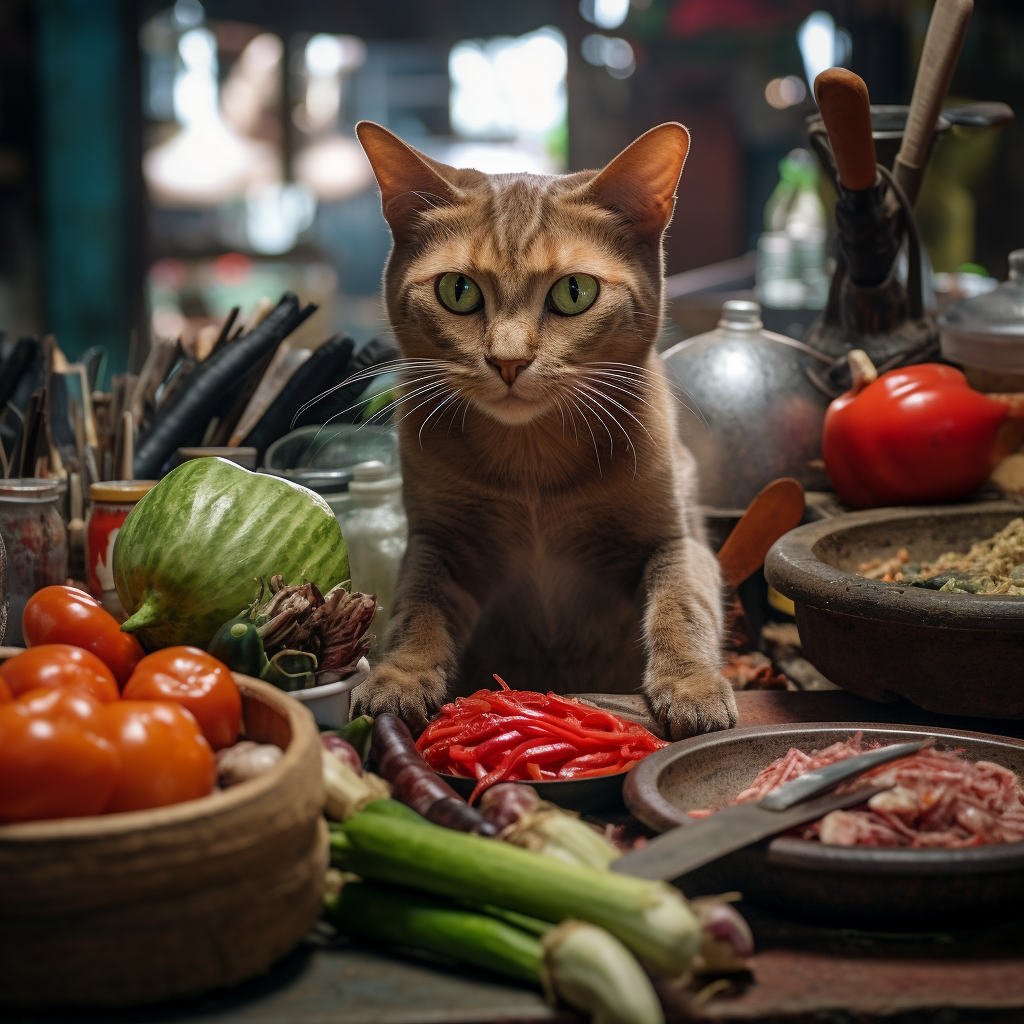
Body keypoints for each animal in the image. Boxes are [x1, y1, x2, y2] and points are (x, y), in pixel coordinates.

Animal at [352, 119, 737, 741]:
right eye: (457, 290)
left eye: (574, 292)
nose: (508, 361)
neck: (532, 463)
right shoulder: (438, 541)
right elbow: (417, 608)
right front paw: (399, 676)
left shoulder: (675, 540)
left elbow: (682, 603)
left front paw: (691, 684)